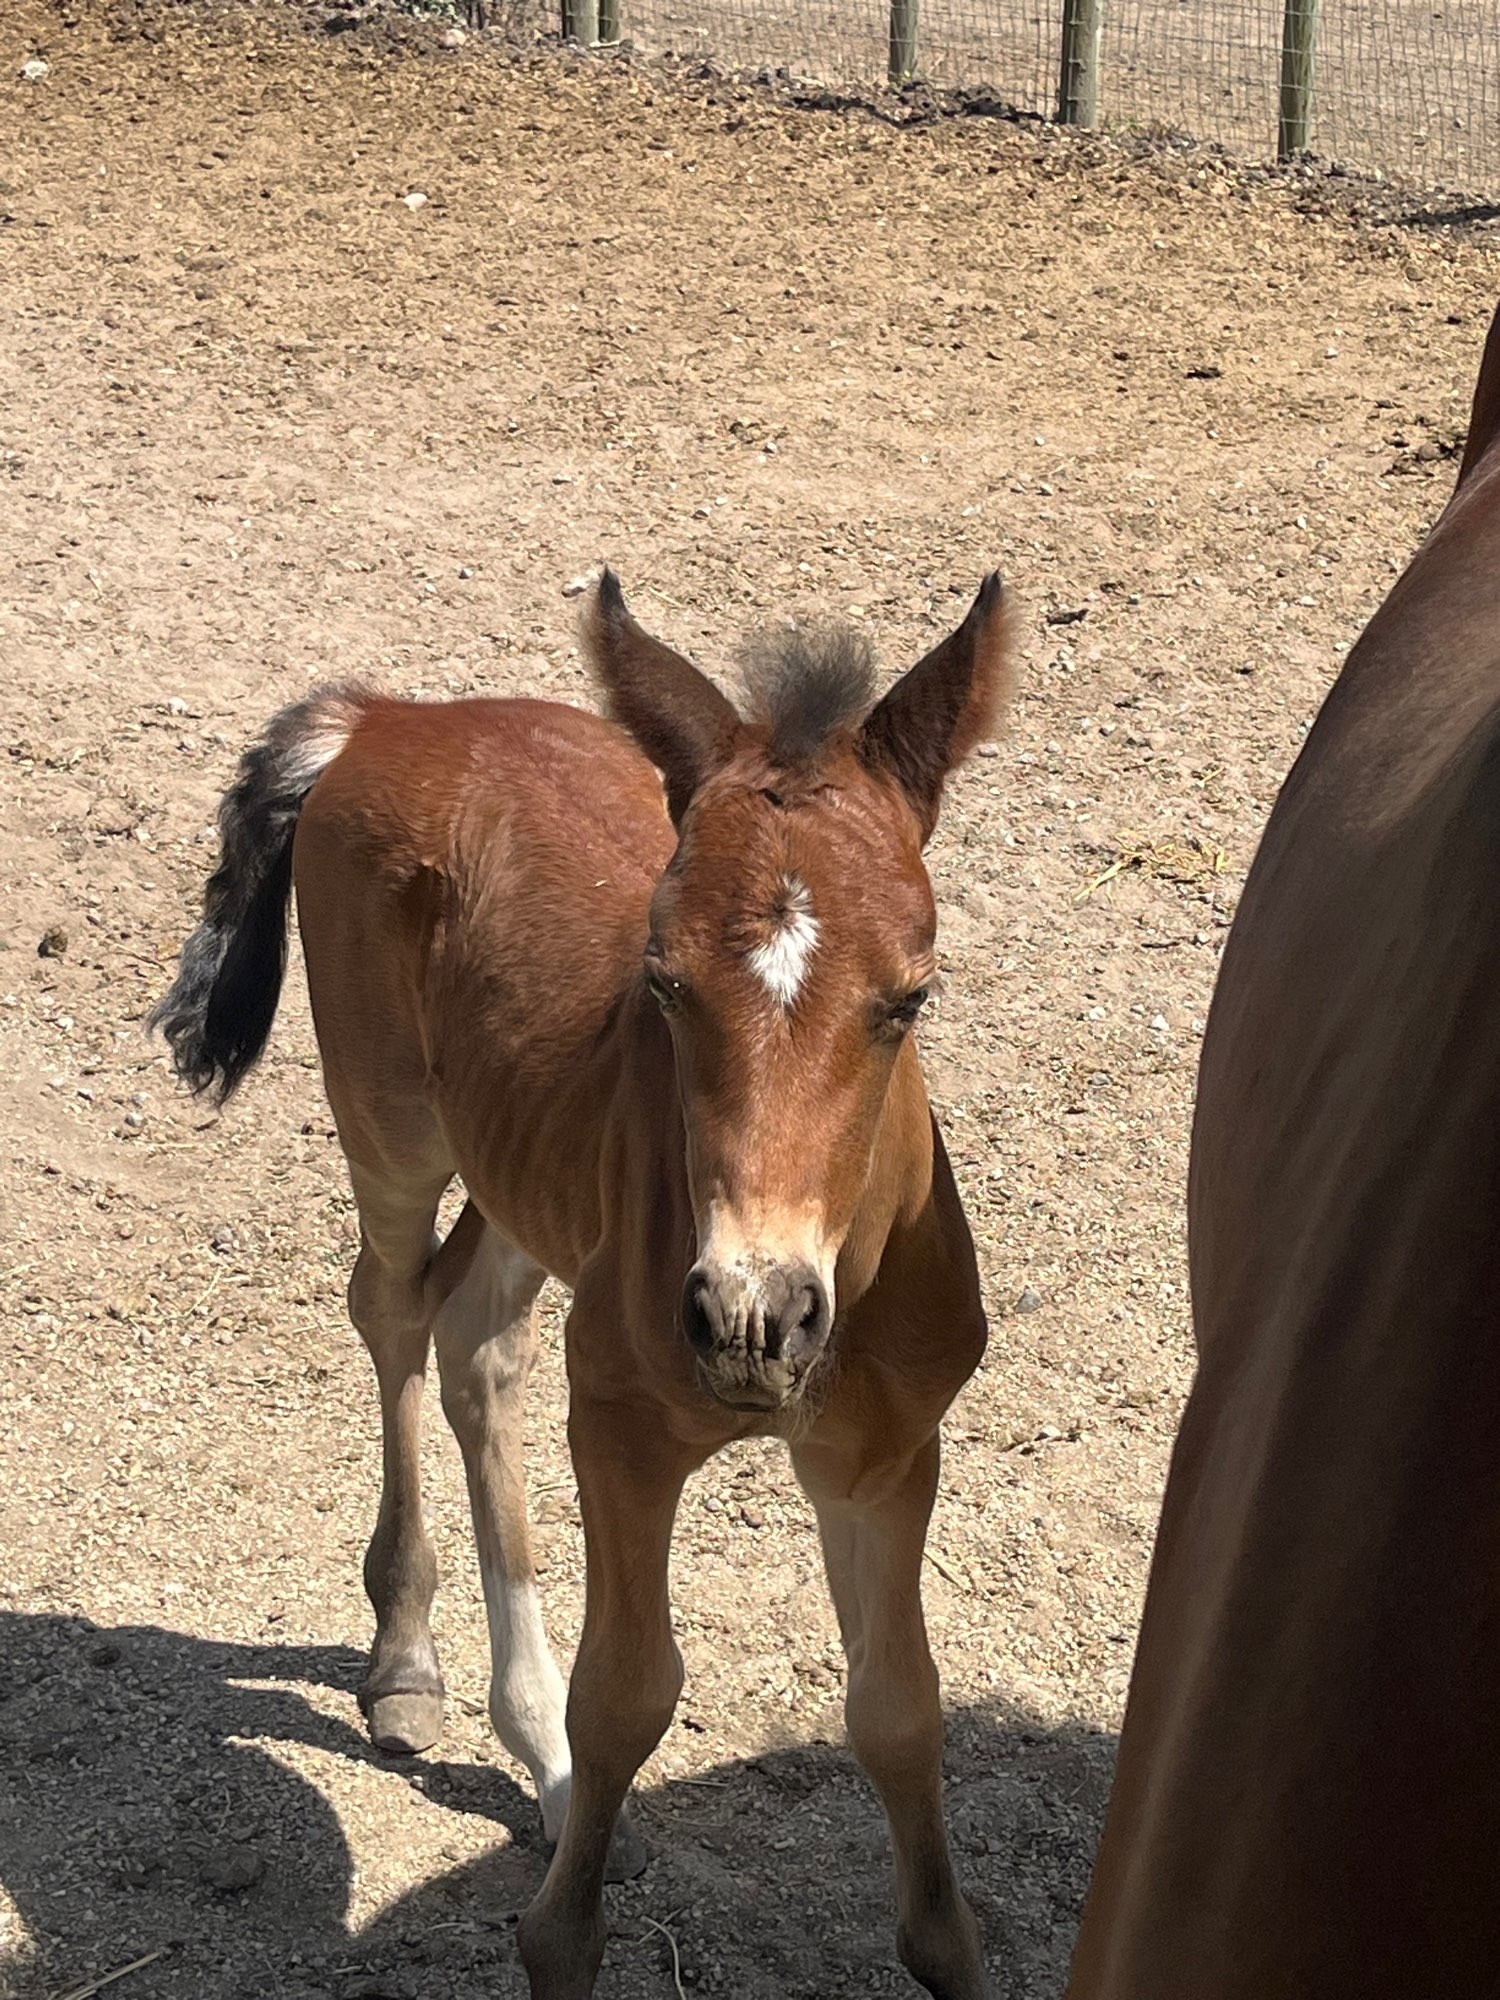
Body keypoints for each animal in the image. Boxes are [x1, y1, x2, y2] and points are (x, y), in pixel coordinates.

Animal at [159, 568, 1016, 2000]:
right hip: (392, 1120)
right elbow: (627, 1693)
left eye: (911, 997)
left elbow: (900, 1707)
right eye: (662, 985)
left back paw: (542, 1762)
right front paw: (561, 1927)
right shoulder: (621, 1426)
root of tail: (388, 715)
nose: (752, 1316)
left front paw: (949, 1944)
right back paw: (406, 1656)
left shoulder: (887, 1452)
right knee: (392, 1306)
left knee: (475, 1336)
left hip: (527, 1173)